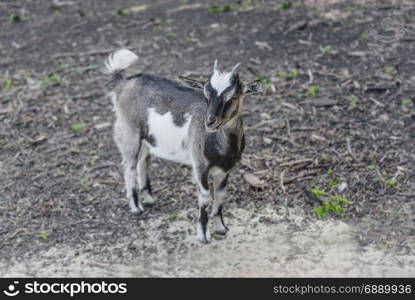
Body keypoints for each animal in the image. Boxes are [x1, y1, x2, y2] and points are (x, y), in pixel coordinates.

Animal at [104, 48, 260, 243]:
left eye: (232, 98)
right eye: (206, 96)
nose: (210, 121)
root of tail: (123, 83)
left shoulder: (225, 170)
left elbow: (220, 196)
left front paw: (221, 228)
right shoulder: (200, 166)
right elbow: (205, 197)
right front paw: (203, 236)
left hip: (146, 137)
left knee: (143, 161)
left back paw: (149, 199)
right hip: (130, 130)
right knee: (129, 165)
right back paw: (136, 207)